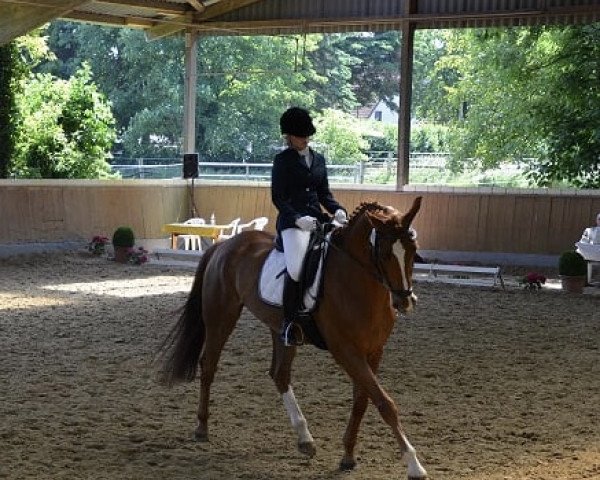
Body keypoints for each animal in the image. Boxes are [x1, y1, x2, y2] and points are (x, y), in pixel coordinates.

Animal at [155, 197, 426, 478]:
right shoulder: (346, 351)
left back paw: (305, 439)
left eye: (413, 249)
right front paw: (414, 465)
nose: (405, 301)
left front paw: (348, 456)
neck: (359, 282)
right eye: (383, 253)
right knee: (208, 365)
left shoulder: (374, 350)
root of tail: (224, 245)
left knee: (279, 374)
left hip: (282, 330)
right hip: (220, 317)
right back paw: (202, 428)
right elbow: (384, 403)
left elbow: (363, 400)